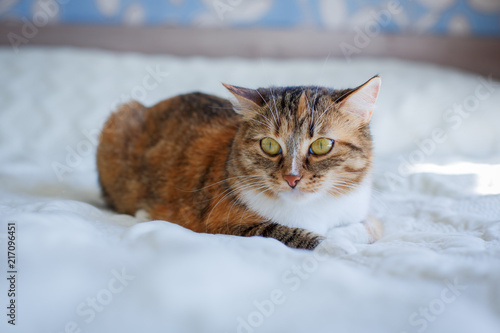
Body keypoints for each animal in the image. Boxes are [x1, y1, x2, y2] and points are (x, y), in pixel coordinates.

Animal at [96, 75, 382, 250]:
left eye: (321, 145)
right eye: (269, 145)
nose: (292, 178)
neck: (313, 209)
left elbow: (368, 226)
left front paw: (342, 236)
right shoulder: (221, 224)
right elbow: (289, 233)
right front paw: (336, 246)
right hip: (121, 117)